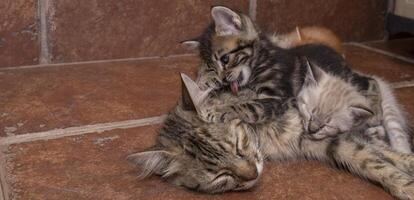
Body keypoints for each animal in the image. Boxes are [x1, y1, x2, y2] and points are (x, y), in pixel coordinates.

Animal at [128, 74, 414, 199]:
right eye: (220, 176)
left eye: (238, 146)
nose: (253, 175)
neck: (263, 138)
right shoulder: (326, 143)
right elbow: (371, 159)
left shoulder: (318, 129)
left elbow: (384, 157)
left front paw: (408, 178)